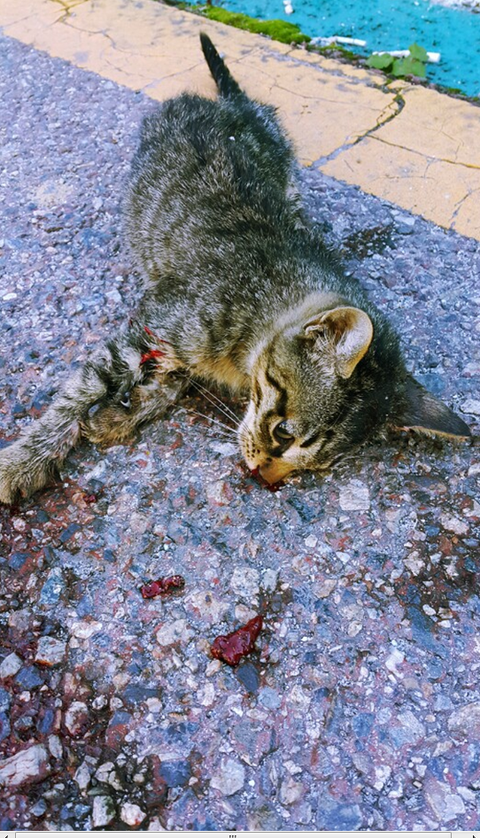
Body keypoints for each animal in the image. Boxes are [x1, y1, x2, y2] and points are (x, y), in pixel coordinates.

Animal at [0, 33, 471, 504]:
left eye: (318, 466)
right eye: (284, 433)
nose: (266, 479)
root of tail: (236, 106)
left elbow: (175, 379)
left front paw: (123, 413)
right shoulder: (152, 325)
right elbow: (80, 392)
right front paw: (25, 459)